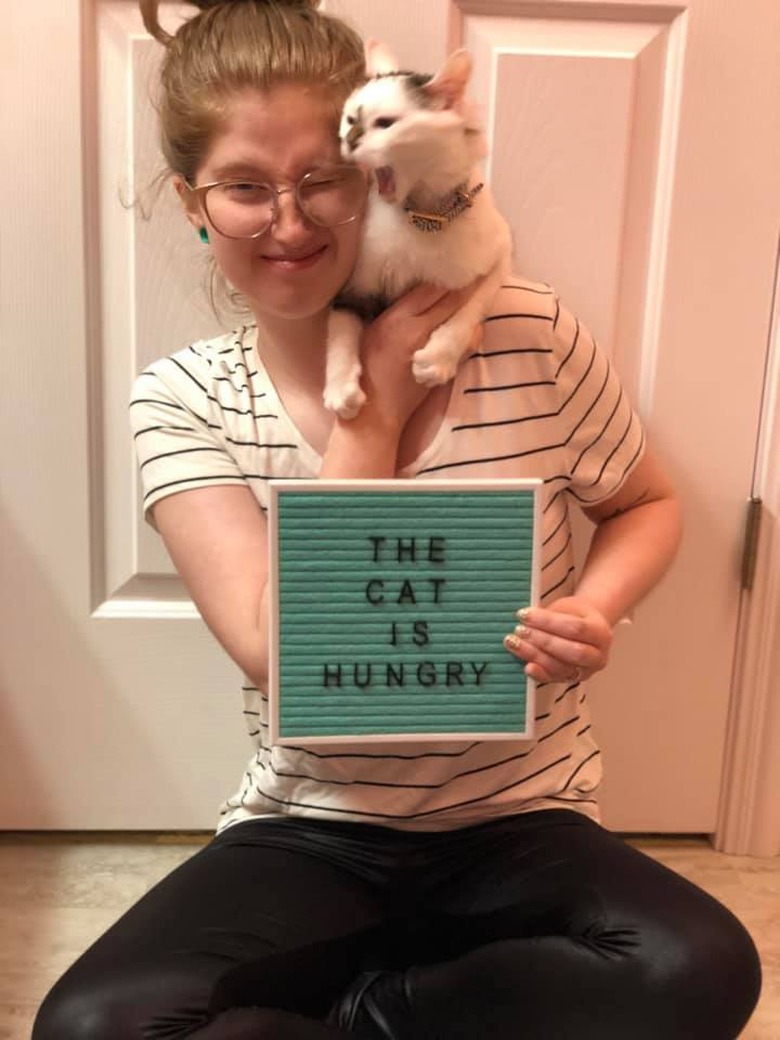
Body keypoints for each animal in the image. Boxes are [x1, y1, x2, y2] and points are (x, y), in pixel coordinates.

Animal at [326, 39, 515, 422]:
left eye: (385, 124)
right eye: (350, 119)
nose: (349, 141)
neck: (425, 217)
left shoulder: (501, 254)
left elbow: (470, 310)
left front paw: (438, 359)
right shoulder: (353, 287)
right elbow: (339, 334)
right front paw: (340, 389)